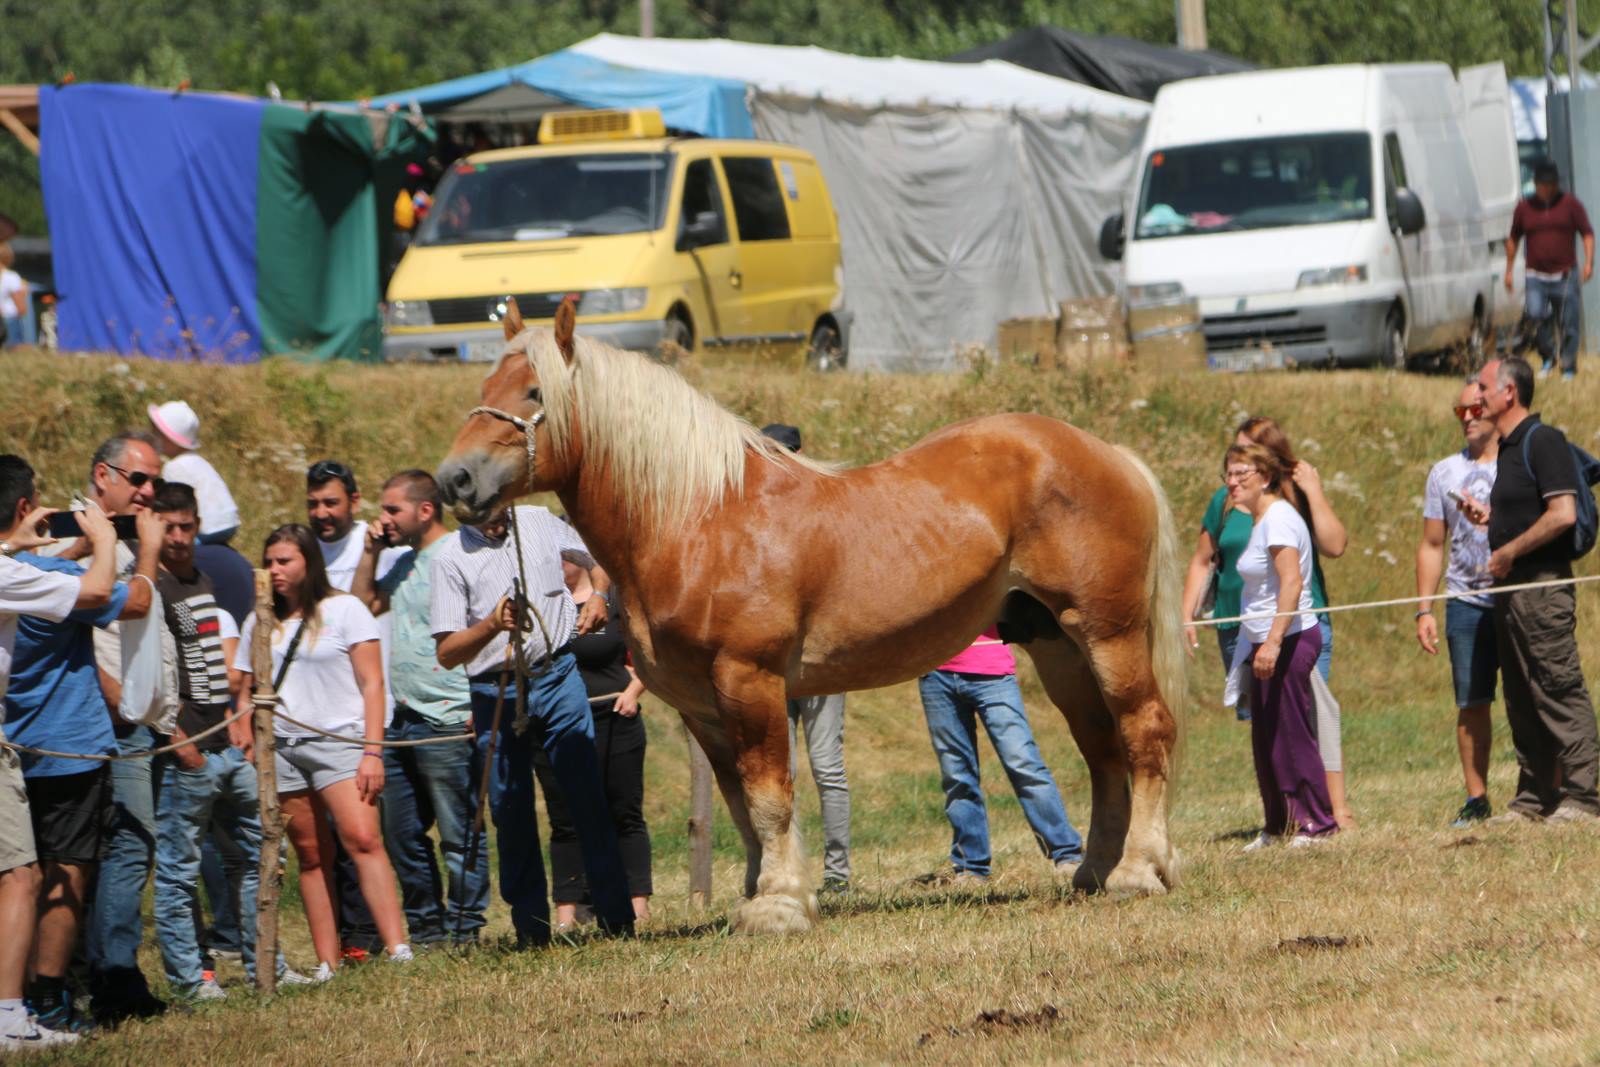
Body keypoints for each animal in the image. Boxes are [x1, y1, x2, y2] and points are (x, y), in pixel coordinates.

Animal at [438, 302, 1190, 934]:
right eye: (489, 380)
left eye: (534, 394)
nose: (455, 480)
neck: (701, 518)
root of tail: (1110, 454)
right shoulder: (702, 706)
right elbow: (740, 803)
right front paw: (762, 893)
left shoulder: (749, 680)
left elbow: (770, 795)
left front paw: (777, 906)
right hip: (1056, 644)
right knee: (1102, 750)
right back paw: (1094, 871)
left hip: (1108, 633)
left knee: (1143, 730)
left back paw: (1138, 870)